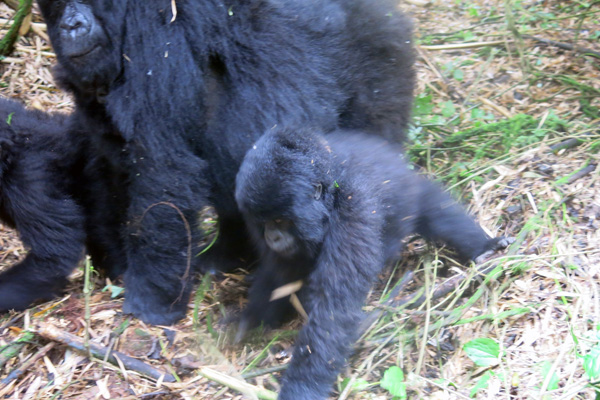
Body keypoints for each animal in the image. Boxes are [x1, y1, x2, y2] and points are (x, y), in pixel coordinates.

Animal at [234, 126, 510, 398]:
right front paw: (250, 319)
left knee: (440, 215)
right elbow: (279, 275)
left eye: (280, 220)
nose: (272, 237)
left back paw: (483, 247)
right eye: (263, 221)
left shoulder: (354, 207)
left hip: (412, 190)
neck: (330, 186)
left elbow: (333, 312)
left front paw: (301, 388)